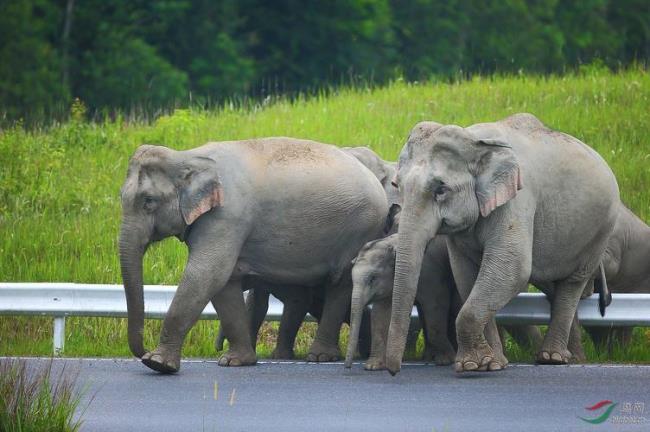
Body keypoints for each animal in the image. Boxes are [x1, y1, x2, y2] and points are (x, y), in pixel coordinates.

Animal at [119, 138, 388, 372]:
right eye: (122, 198)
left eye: (149, 200)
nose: (141, 351)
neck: (186, 156)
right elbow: (224, 283)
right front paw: (235, 361)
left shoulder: (227, 216)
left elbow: (207, 274)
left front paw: (157, 363)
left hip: (360, 228)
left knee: (339, 284)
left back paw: (321, 357)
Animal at [344, 235, 456, 370]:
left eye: (373, 279)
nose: (347, 367)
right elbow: (380, 313)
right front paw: (373, 367)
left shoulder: (429, 273)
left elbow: (435, 305)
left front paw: (445, 360)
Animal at [384, 115, 616, 374]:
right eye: (397, 186)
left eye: (441, 189)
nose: (393, 371)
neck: (475, 140)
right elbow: (466, 276)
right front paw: (491, 363)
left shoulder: (517, 200)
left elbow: (512, 269)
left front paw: (472, 365)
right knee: (553, 286)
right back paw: (571, 357)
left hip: (600, 232)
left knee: (571, 284)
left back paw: (552, 357)